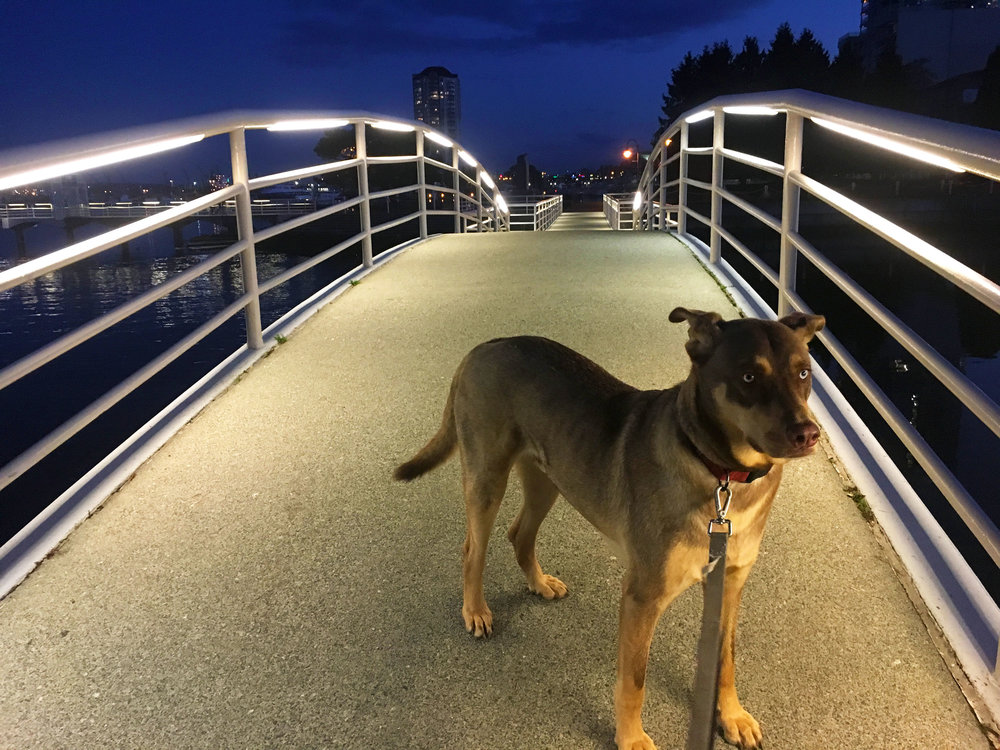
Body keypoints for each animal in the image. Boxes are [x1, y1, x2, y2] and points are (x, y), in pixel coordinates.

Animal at [394, 306, 824, 750]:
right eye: (749, 377)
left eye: (804, 373)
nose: (808, 434)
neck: (718, 471)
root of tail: (489, 344)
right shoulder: (642, 597)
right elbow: (634, 682)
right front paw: (631, 738)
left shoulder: (730, 585)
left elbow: (726, 658)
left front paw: (732, 714)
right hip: (487, 478)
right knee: (472, 550)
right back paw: (476, 610)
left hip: (550, 477)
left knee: (519, 533)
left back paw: (538, 582)